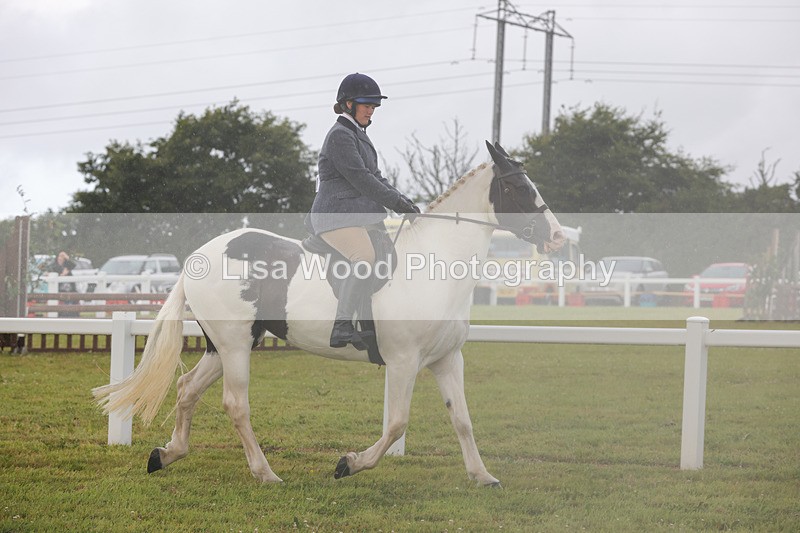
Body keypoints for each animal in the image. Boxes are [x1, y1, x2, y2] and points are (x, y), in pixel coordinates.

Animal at [93, 141, 565, 486]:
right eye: (518, 189)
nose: (557, 237)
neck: (436, 265)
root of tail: (199, 255)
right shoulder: (404, 361)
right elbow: (396, 424)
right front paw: (349, 464)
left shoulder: (448, 359)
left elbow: (462, 419)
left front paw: (482, 475)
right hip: (234, 345)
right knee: (235, 404)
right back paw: (265, 473)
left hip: (226, 345)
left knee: (187, 388)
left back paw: (166, 454)